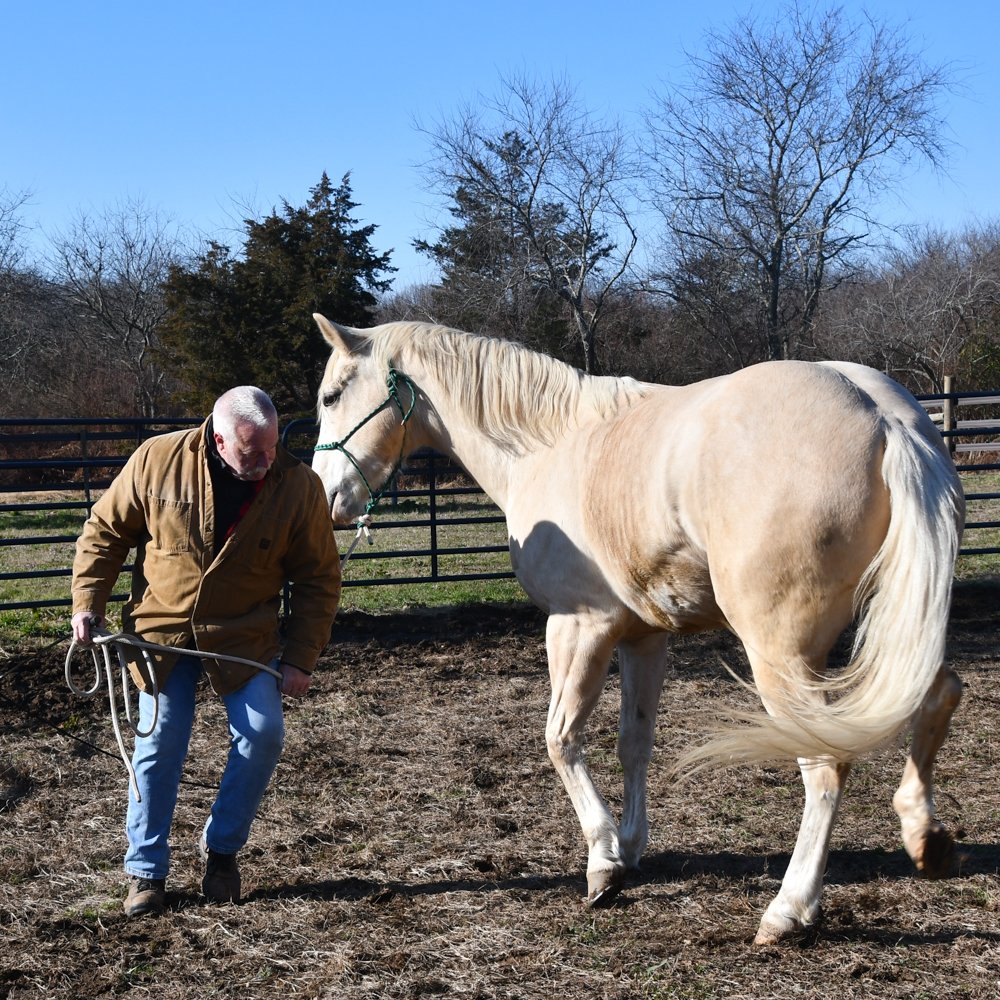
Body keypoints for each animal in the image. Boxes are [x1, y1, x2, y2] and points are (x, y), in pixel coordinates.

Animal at [309, 313, 965, 945]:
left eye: (331, 395)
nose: (326, 495)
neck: (550, 445)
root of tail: (883, 418)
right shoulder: (643, 637)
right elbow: (634, 741)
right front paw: (629, 846)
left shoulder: (577, 627)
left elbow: (561, 739)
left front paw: (603, 862)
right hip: (893, 626)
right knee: (939, 694)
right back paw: (924, 836)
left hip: (783, 653)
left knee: (826, 764)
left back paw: (789, 910)